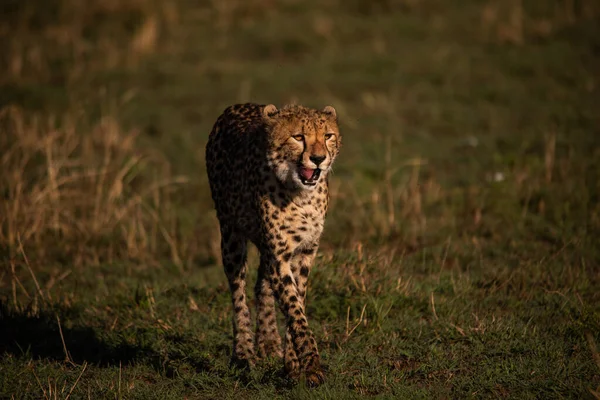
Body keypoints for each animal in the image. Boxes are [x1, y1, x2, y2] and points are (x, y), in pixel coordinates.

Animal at [205, 102, 338, 384]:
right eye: (298, 137)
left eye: (328, 136)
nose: (319, 159)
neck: (301, 195)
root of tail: (234, 107)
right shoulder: (279, 255)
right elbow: (294, 311)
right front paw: (311, 365)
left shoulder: (304, 252)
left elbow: (296, 303)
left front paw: (293, 364)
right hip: (231, 235)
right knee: (239, 293)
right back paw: (244, 353)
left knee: (261, 285)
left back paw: (268, 342)